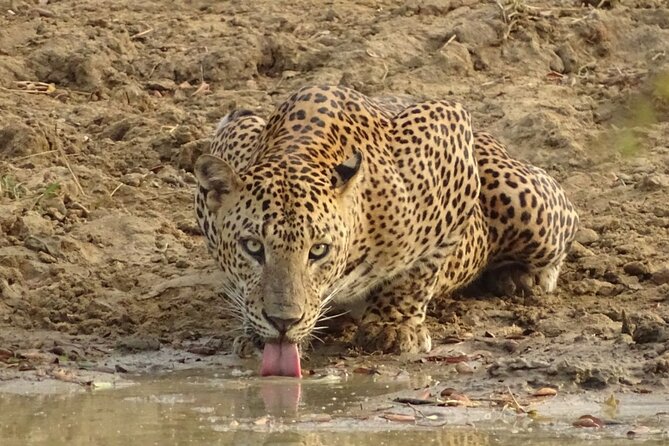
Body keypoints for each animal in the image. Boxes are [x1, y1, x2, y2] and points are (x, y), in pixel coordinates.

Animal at [193, 85, 578, 376]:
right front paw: (254, 332)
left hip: (526, 203)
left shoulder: (449, 128)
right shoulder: (233, 130)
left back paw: (523, 278)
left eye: (318, 250)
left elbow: (418, 271)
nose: (283, 322)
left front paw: (393, 326)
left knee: (566, 214)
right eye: (252, 247)